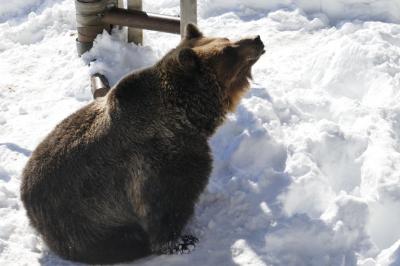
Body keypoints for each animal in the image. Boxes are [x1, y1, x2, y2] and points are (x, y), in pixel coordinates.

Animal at [20, 23, 264, 264]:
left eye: (227, 39)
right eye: (227, 50)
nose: (256, 39)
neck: (187, 115)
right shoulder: (160, 161)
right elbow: (166, 204)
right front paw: (182, 242)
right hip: (81, 222)